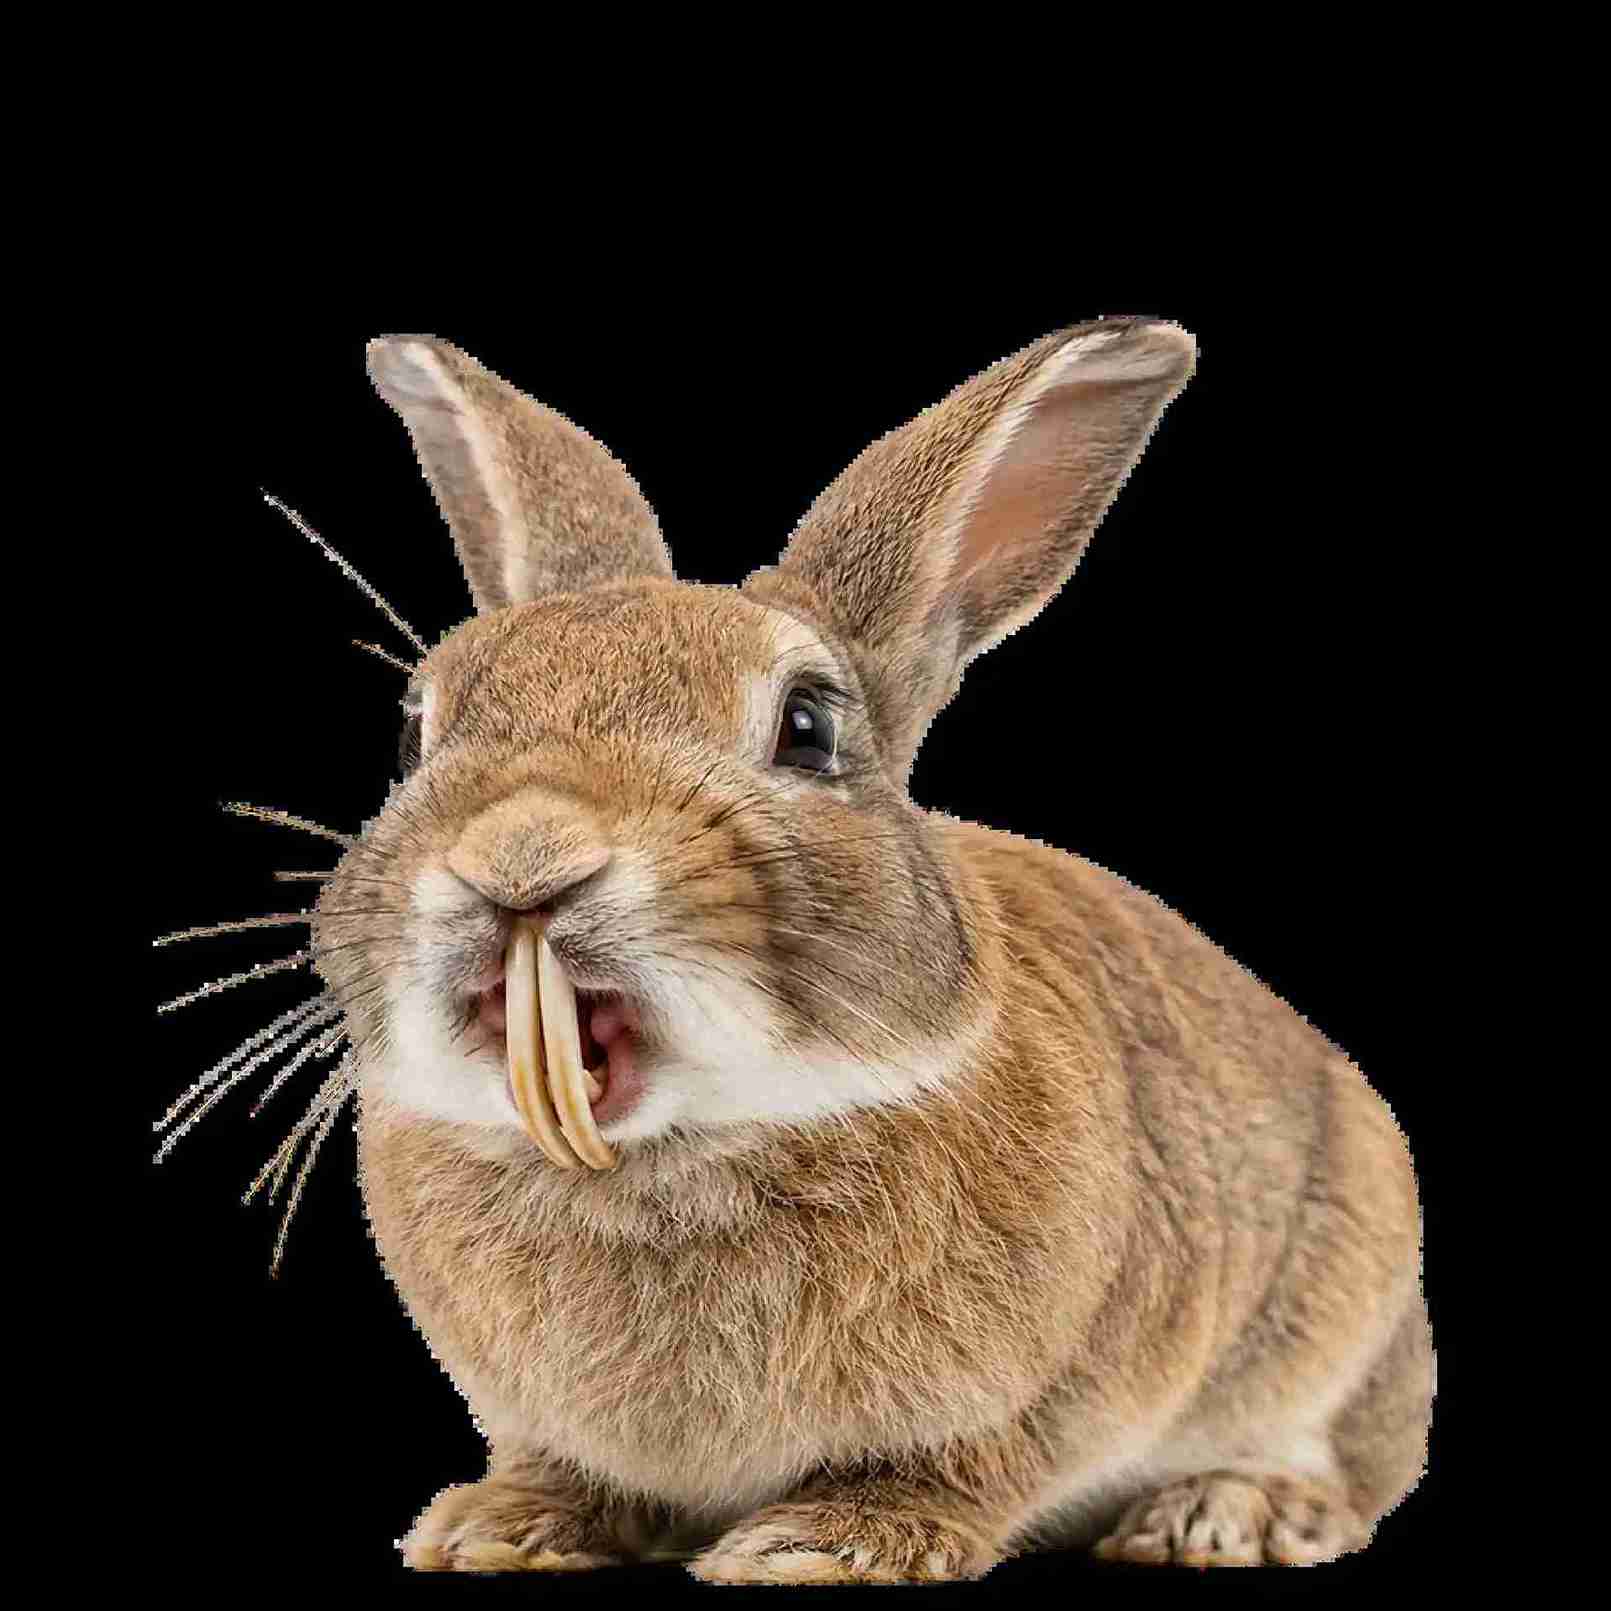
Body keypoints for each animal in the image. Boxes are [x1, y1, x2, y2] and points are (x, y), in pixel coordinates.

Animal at [294, 318, 1432, 1582]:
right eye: (413, 736)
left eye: (808, 726)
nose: (521, 859)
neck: (675, 1155)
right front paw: (499, 1528)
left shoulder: (1043, 1383)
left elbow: (962, 1465)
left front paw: (817, 1544)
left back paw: (1226, 1515)